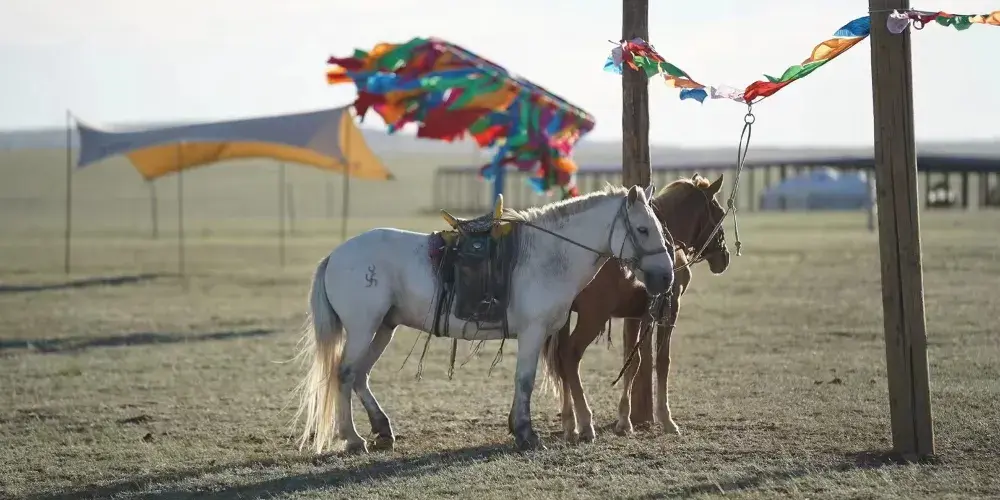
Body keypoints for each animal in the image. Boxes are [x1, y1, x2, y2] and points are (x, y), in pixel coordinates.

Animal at [294, 184, 676, 454]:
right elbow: (525, 380)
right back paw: (353, 438)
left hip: (383, 328)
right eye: (643, 229)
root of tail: (335, 255)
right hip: (363, 328)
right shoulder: (533, 332)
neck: (550, 255)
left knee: (360, 375)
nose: (666, 277)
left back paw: (382, 430)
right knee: (345, 374)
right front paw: (525, 433)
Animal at [540, 173, 731, 443]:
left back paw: (570, 423)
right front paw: (666, 419)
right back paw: (585, 422)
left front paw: (624, 420)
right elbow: (662, 361)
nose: (724, 257)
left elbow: (634, 362)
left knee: (559, 358)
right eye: (720, 212)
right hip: (592, 318)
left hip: (564, 317)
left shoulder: (637, 315)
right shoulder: (669, 311)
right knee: (570, 354)